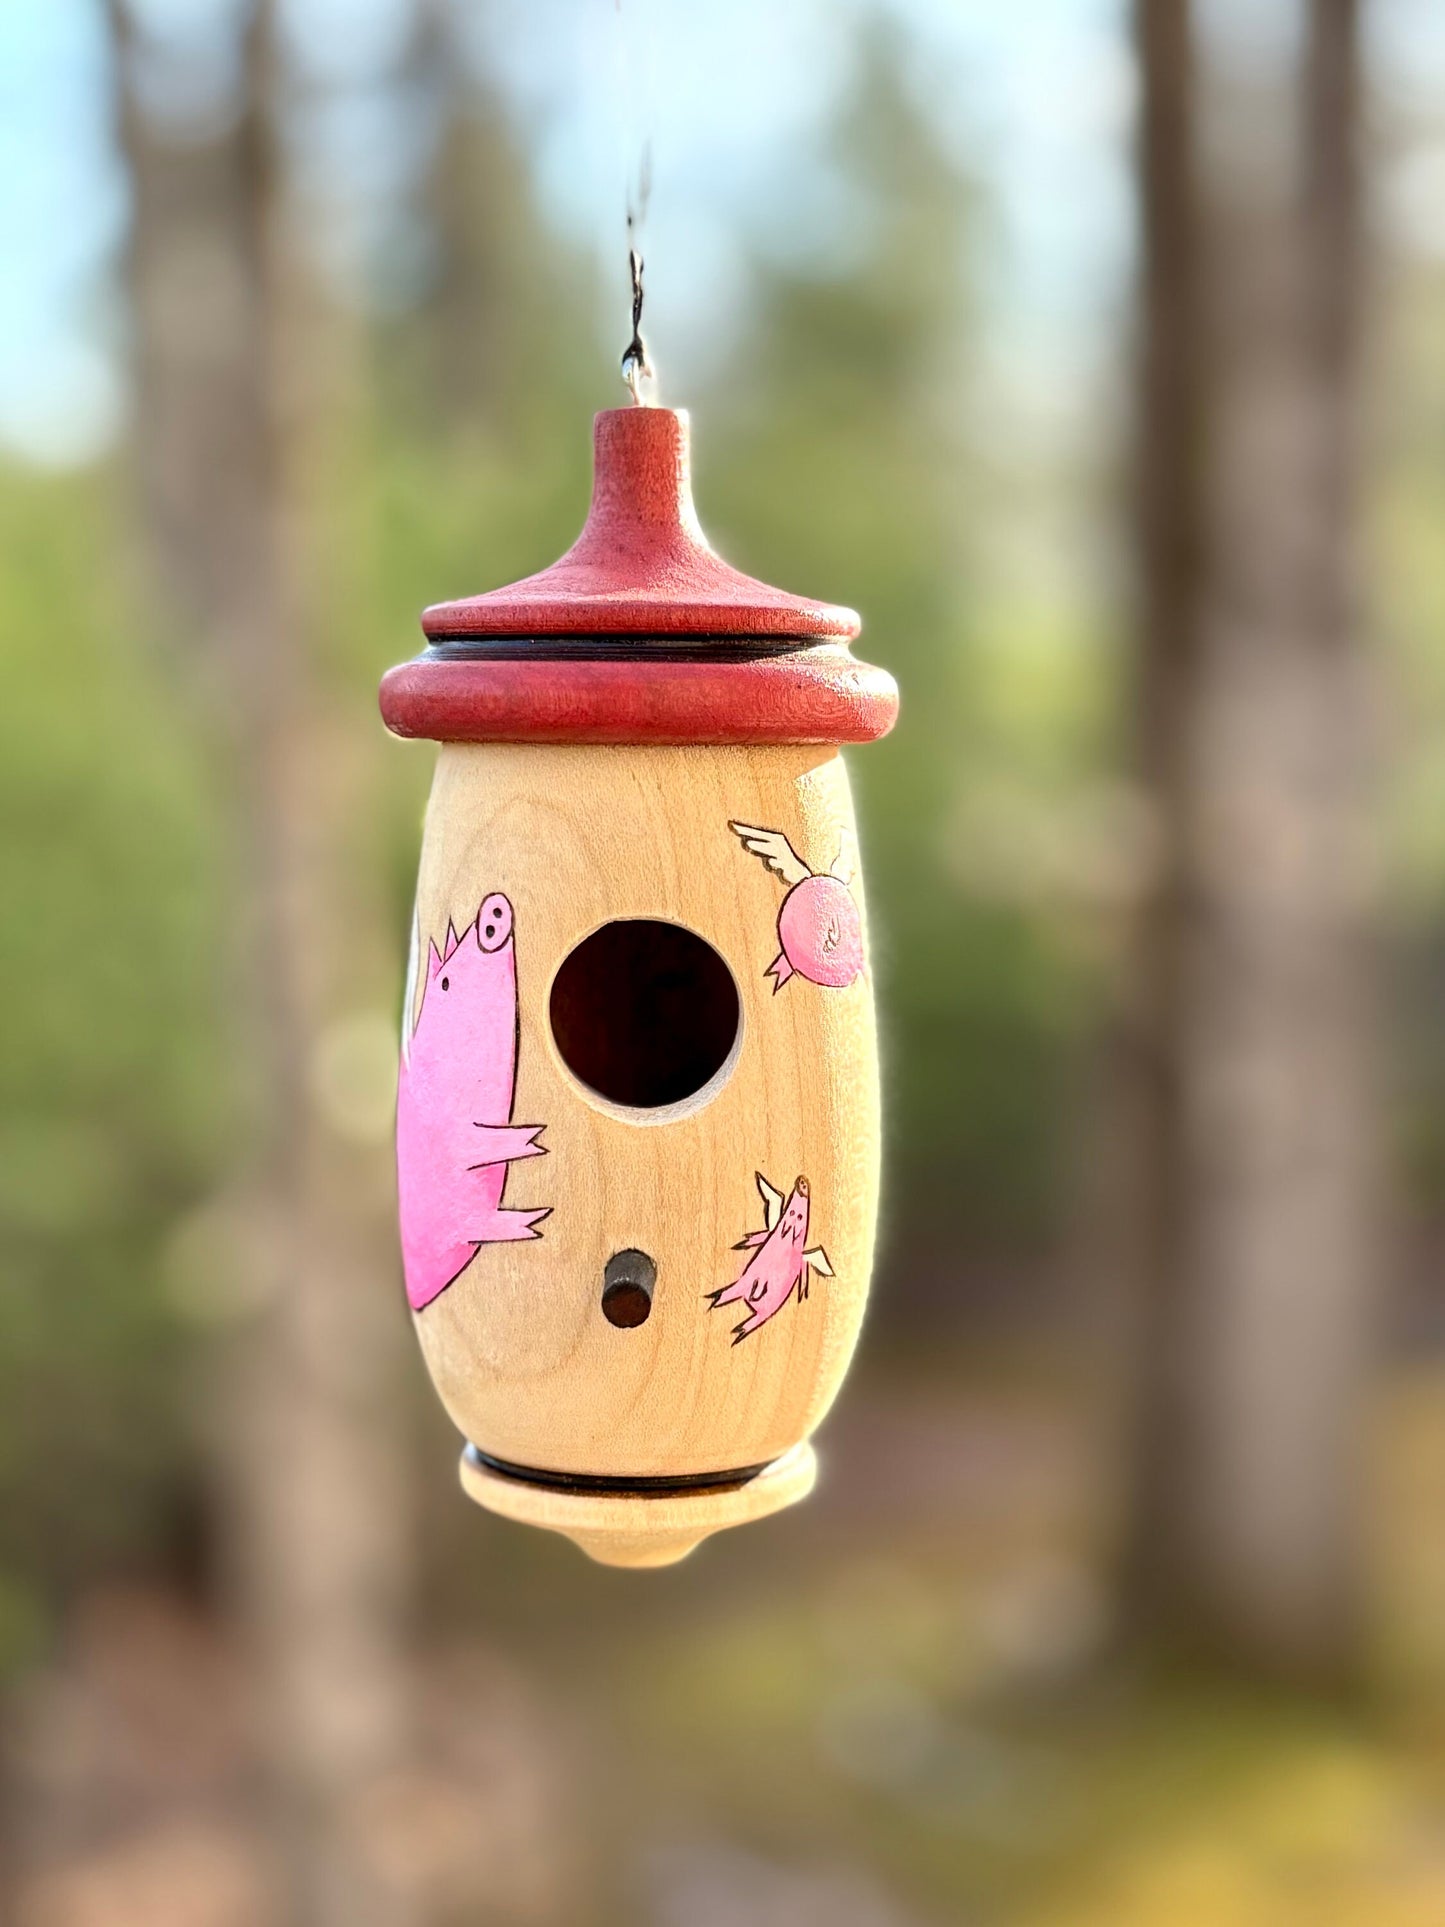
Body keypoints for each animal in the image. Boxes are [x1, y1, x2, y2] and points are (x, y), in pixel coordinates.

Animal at [706, 1172, 834, 1344]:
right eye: (792, 1213)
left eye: (800, 1216)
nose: (802, 1182)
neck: (787, 1237)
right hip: (742, 1285)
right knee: (726, 1295)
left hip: (763, 1310)